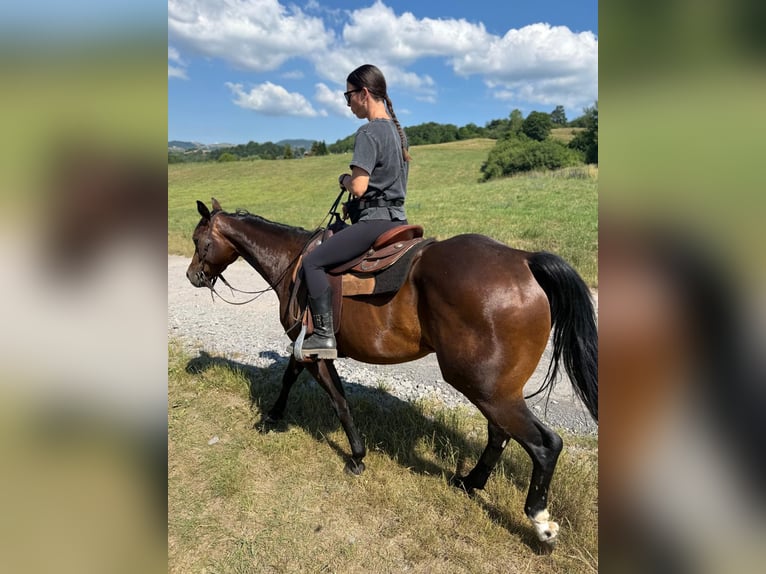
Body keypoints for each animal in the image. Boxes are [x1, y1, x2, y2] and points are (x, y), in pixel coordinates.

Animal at [186, 197, 598, 547]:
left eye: (197, 240)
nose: (192, 276)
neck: (293, 262)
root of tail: (523, 260)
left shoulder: (317, 354)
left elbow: (339, 401)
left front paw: (356, 456)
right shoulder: (304, 346)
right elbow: (289, 376)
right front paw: (272, 415)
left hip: (485, 388)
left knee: (545, 444)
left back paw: (541, 522)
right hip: (495, 389)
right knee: (500, 434)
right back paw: (470, 482)